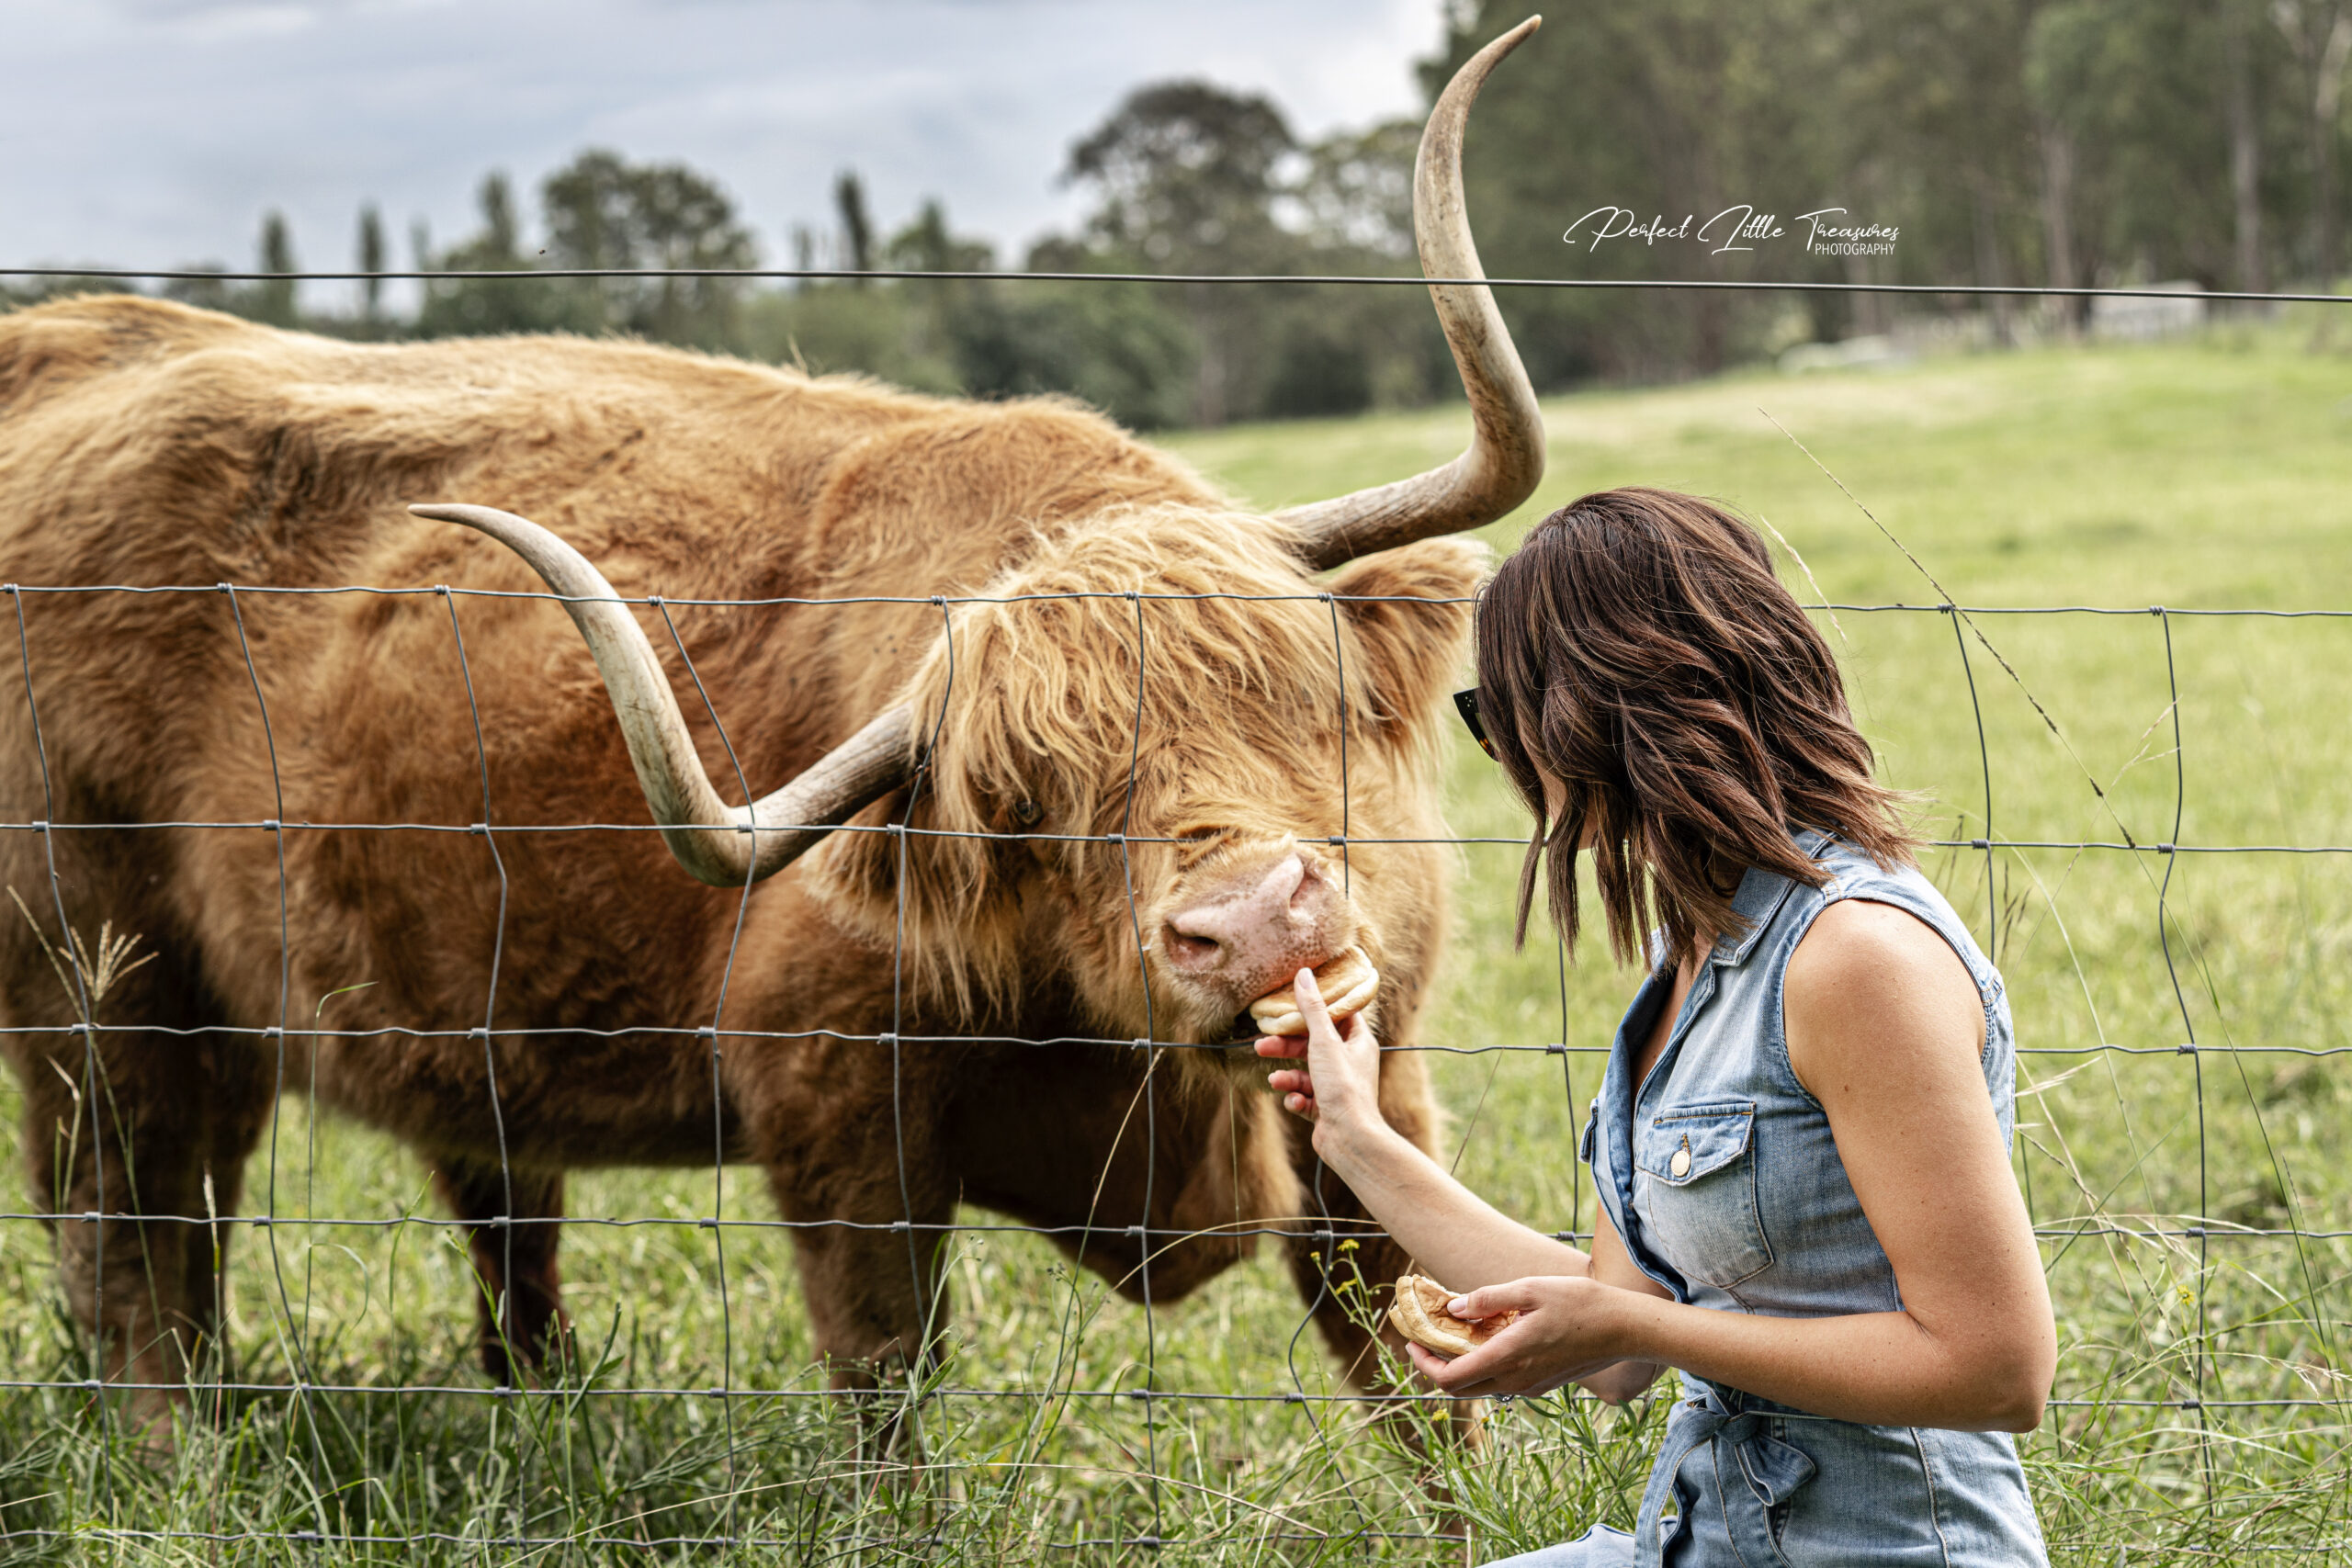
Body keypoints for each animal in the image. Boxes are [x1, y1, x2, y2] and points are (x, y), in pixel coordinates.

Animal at [0, 24, 1543, 1419]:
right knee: (129, 1243)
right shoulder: (839, 1123)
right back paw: (183, 1459)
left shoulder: (1384, 1069)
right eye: (1033, 797)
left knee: (415, 1234)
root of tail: (66, 338)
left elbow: (1411, 1351)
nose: (1260, 921)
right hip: (100, 990)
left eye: (1298, 692)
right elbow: (885, 1378)